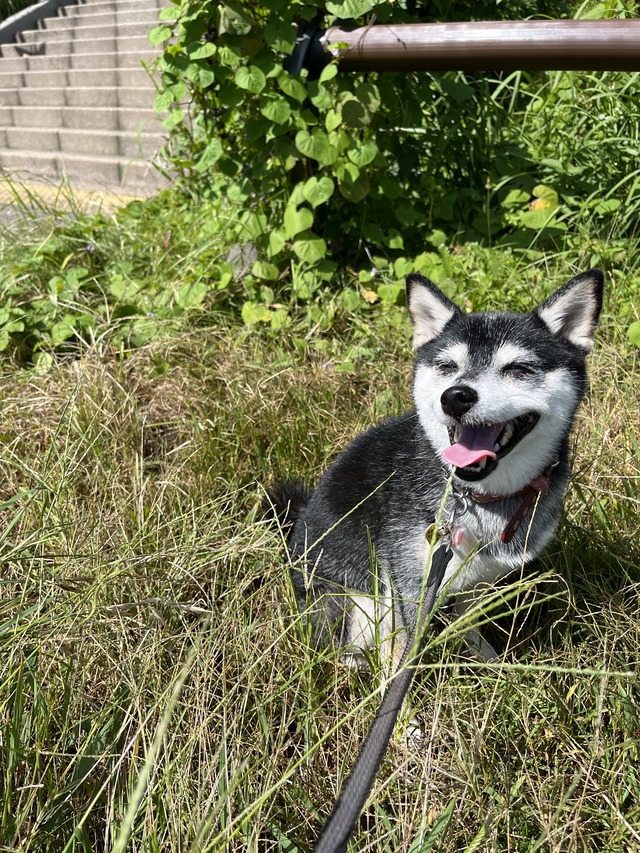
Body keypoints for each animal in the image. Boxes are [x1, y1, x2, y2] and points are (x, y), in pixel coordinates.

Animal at [268, 270, 604, 664]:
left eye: (519, 369)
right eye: (447, 367)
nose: (456, 396)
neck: (476, 497)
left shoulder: (479, 578)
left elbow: (468, 625)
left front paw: (487, 663)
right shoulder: (405, 582)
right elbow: (401, 652)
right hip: (354, 600)